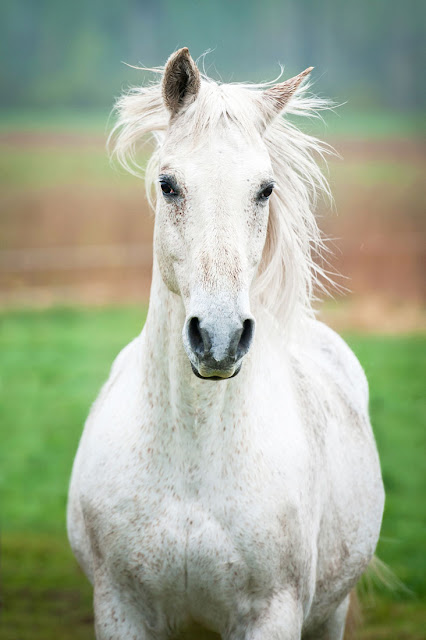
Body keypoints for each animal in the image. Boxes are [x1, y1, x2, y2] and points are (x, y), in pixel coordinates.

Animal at [68, 47, 384, 636]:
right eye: (168, 183)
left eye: (265, 189)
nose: (219, 338)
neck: (193, 465)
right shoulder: (121, 607)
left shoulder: (272, 615)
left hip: (330, 613)